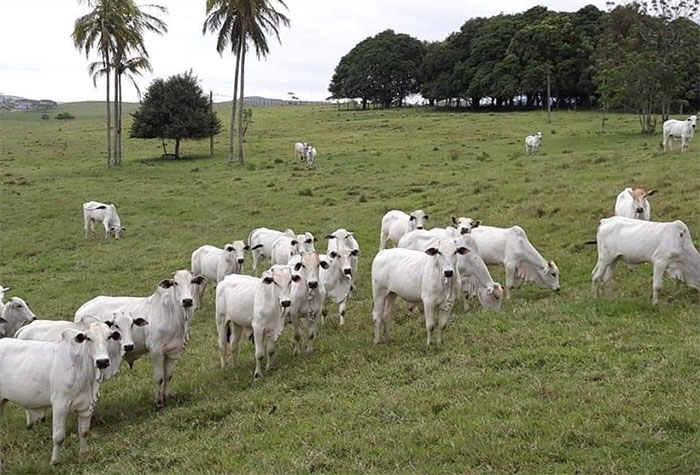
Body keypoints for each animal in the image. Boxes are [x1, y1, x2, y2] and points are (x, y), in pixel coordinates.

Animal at [0, 324, 121, 464]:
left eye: (109, 336)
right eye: (88, 338)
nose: (102, 361)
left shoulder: (87, 406)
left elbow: (84, 432)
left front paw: (83, 454)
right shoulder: (60, 404)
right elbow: (59, 436)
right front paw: (55, 462)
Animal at [74, 270, 205, 410]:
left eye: (192, 281)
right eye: (175, 283)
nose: (187, 301)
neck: (173, 314)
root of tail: (82, 309)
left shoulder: (172, 351)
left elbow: (168, 376)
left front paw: (166, 397)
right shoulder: (156, 350)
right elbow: (159, 378)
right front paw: (158, 403)